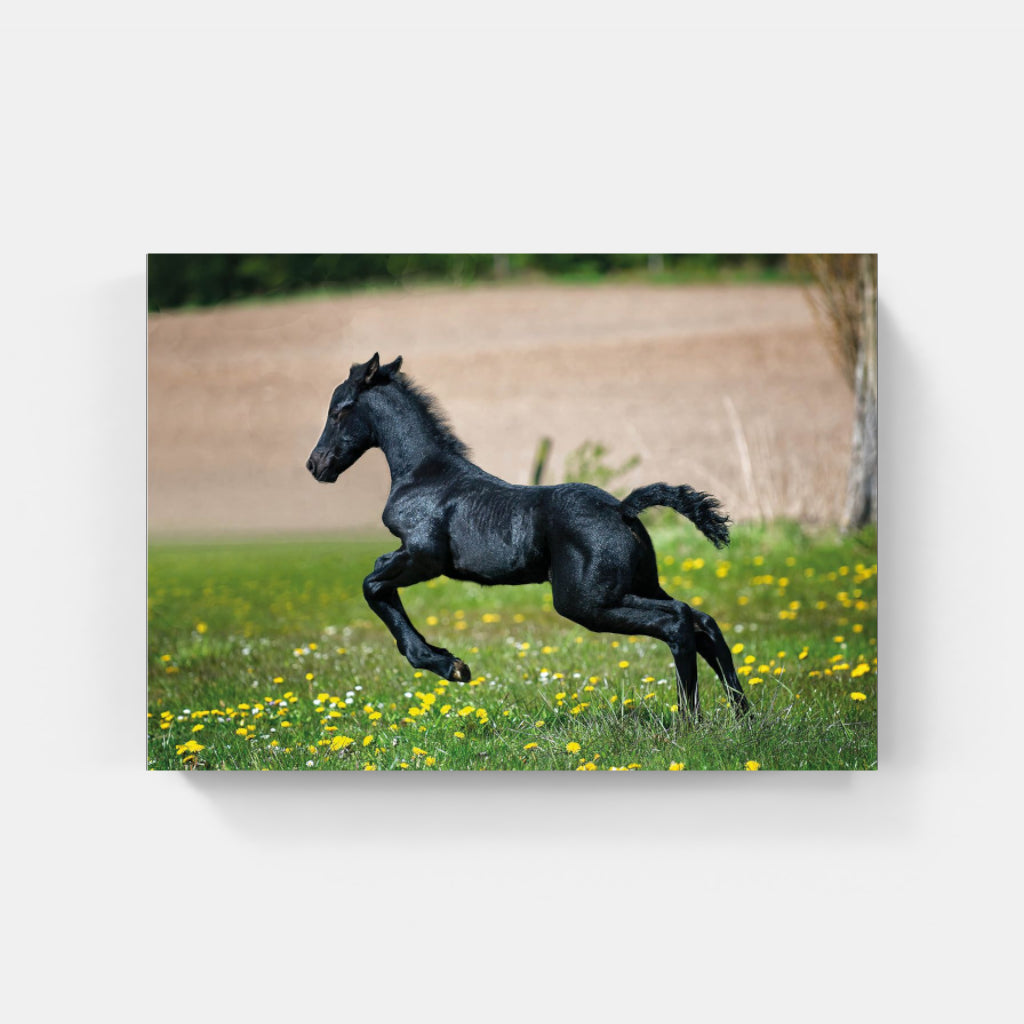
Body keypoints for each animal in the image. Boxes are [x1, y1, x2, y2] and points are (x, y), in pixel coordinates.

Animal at [306, 353, 750, 720]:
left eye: (337, 411)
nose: (315, 465)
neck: (424, 474)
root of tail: (623, 509)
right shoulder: (410, 556)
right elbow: (379, 579)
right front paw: (447, 661)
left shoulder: (424, 557)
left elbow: (372, 584)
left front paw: (449, 665)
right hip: (636, 585)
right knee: (702, 620)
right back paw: (742, 715)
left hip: (587, 602)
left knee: (677, 621)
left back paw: (689, 720)